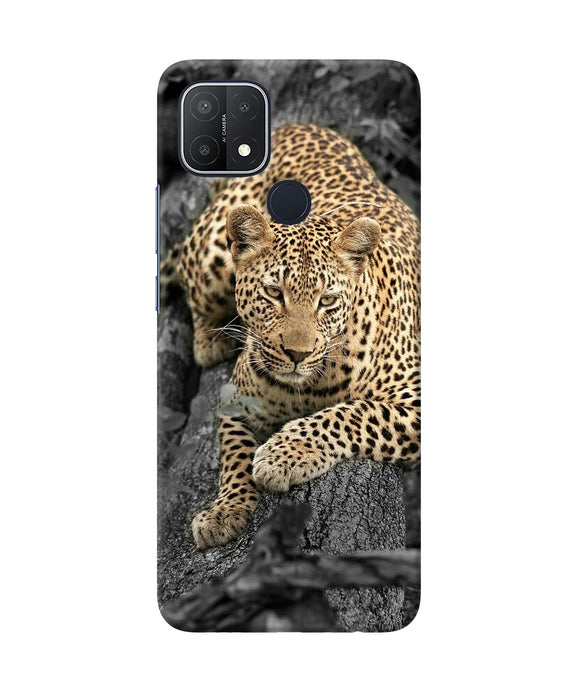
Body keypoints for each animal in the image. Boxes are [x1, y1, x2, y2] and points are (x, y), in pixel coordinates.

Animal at [173, 123, 420, 550]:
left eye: (327, 300)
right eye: (274, 293)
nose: (297, 354)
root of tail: (296, 125)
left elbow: (353, 413)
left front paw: (283, 454)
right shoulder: (235, 401)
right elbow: (234, 456)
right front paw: (225, 511)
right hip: (212, 255)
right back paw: (211, 341)